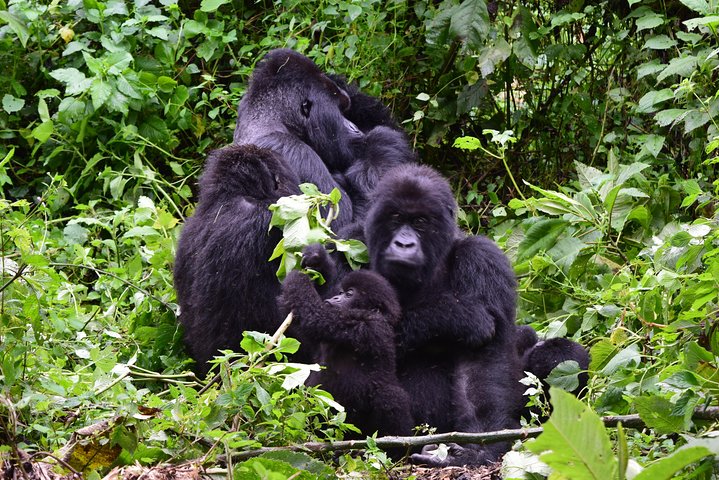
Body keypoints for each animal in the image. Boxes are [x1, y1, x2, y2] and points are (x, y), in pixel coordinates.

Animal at [278, 270, 414, 438]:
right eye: (340, 293)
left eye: (349, 294)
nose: (335, 298)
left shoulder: (365, 324)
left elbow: (315, 316)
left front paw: (298, 277)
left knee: (391, 396)